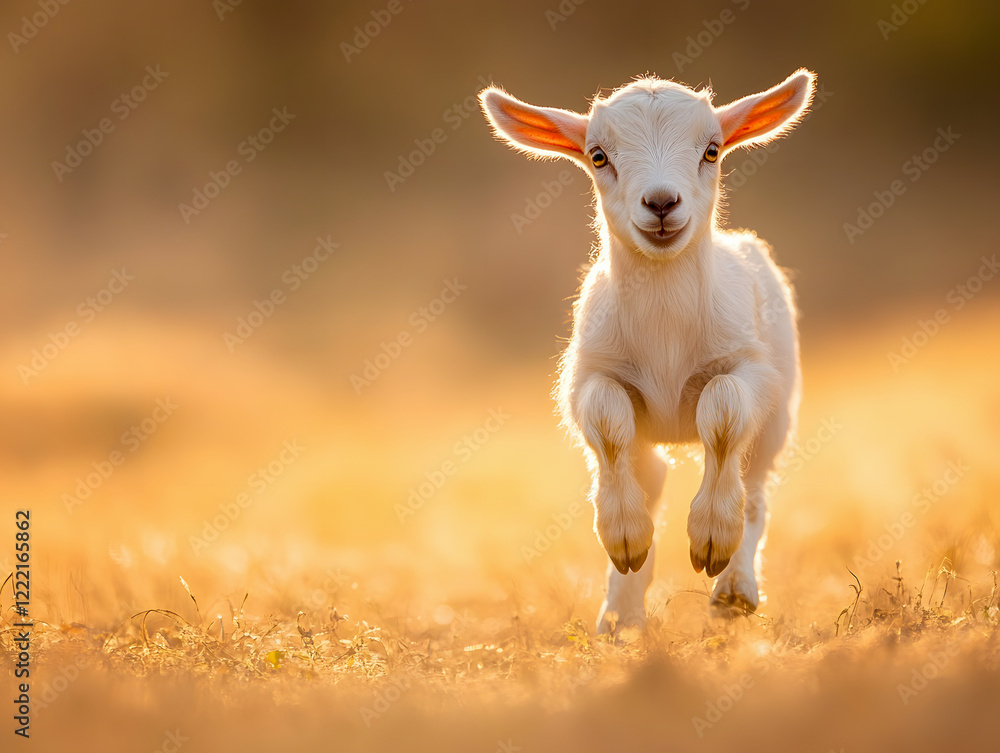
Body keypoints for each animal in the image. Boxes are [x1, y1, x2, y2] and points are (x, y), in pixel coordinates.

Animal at [480, 70, 814, 631]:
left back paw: (734, 591)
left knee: (756, 488)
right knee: (649, 474)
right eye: (598, 156)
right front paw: (624, 538)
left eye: (711, 150)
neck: (665, 339)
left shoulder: (753, 370)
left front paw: (710, 539)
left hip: (780, 412)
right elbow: (607, 421)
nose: (661, 203)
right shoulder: (587, 375)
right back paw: (623, 609)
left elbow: (723, 413)